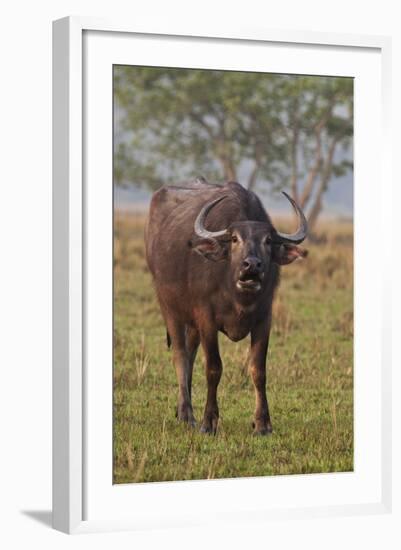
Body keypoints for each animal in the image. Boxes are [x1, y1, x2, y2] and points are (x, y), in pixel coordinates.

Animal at [145, 177, 308, 436]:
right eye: (234, 239)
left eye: (268, 241)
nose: (252, 265)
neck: (237, 296)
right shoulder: (207, 319)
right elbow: (213, 368)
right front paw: (209, 422)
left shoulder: (264, 320)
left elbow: (258, 370)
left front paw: (263, 423)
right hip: (168, 306)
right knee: (180, 355)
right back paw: (187, 414)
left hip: (192, 322)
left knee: (190, 355)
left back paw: (182, 409)